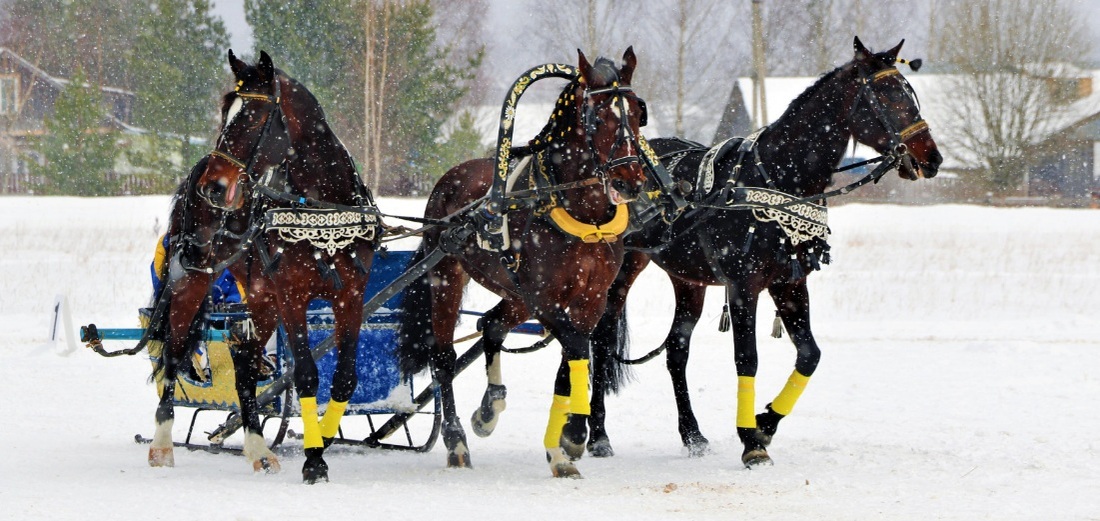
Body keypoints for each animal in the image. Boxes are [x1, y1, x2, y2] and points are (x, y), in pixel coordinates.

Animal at [150, 50, 380, 481]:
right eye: (225, 113)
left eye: (252, 118)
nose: (214, 187)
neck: (322, 207)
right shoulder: (292, 296)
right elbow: (306, 375)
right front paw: (314, 460)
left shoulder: (351, 295)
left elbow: (345, 378)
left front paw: (322, 438)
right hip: (194, 281)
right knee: (173, 351)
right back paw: (161, 444)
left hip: (260, 297)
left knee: (244, 359)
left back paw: (258, 449)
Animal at [398, 46, 646, 479]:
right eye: (599, 117)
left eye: (636, 111)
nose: (630, 181)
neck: (581, 213)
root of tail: (450, 179)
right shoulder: (547, 299)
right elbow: (576, 347)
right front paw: (573, 435)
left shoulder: (590, 300)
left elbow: (569, 364)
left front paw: (561, 446)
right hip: (448, 278)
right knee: (442, 357)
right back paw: (456, 440)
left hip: (515, 294)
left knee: (491, 324)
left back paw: (489, 408)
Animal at [589, 37, 941, 468]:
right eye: (887, 96)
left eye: (911, 95)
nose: (931, 158)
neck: (777, 177)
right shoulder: (744, 285)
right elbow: (748, 358)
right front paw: (750, 441)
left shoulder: (789, 283)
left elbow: (809, 355)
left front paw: (766, 422)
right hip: (621, 273)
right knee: (601, 339)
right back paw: (598, 435)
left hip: (688, 280)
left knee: (676, 350)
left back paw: (692, 434)